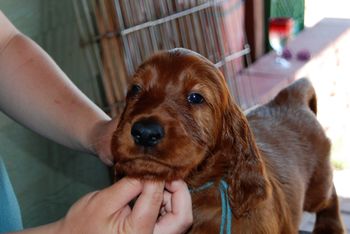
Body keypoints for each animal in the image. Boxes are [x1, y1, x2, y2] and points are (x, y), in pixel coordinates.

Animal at [112, 48, 344, 233]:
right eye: (135, 89)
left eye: (196, 97)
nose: (144, 132)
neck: (200, 191)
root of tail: (289, 99)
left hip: (317, 187)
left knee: (331, 195)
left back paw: (330, 226)